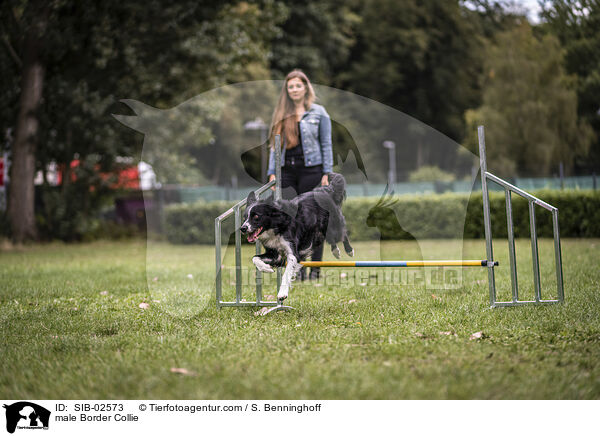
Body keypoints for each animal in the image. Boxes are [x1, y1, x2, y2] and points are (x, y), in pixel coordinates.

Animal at [239, 172, 352, 302]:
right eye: (245, 217)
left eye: (256, 216)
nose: (243, 228)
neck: (276, 226)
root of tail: (326, 189)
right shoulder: (275, 254)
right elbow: (255, 258)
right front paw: (266, 268)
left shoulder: (292, 252)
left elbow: (287, 272)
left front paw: (282, 293)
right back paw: (335, 250)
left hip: (333, 225)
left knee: (343, 234)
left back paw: (348, 250)